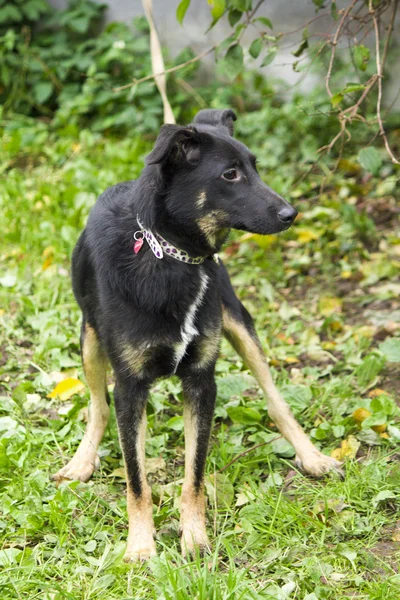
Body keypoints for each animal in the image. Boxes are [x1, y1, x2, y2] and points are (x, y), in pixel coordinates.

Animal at [52, 109, 340, 564]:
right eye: (230, 174)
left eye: (255, 167)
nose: (291, 213)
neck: (171, 256)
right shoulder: (130, 386)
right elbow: (136, 478)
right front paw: (140, 545)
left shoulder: (202, 382)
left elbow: (195, 473)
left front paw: (195, 537)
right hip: (90, 339)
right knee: (98, 405)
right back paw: (83, 460)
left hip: (238, 321)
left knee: (275, 399)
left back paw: (311, 456)